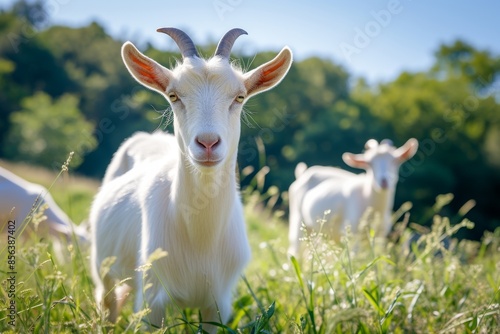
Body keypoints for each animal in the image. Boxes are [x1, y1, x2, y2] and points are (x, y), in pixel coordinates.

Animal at [90, 26, 292, 332]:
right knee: (107, 301)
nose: (207, 143)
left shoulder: (218, 304)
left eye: (239, 97)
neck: (200, 238)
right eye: (174, 96)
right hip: (102, 267)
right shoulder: (152, 300)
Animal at [288, 138, 420, 256]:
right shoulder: (352, 233)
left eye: (394, 161)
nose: (384, 181)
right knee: (294, 250)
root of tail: (304, 173)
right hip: (297, 219)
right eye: (369, 164)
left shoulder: (380, 237)